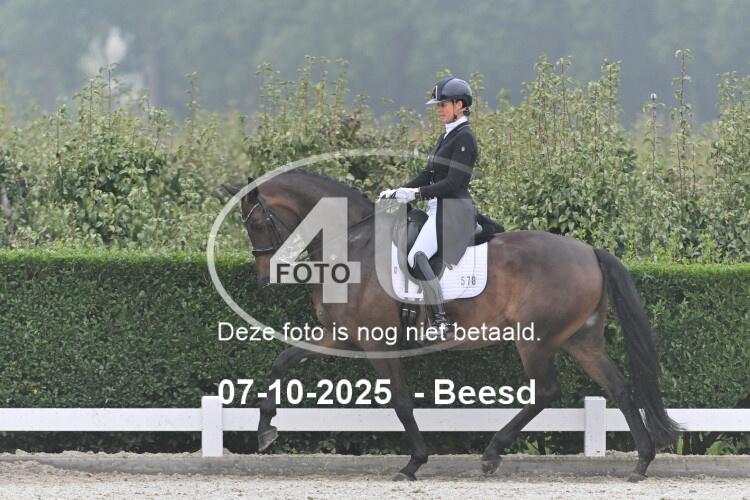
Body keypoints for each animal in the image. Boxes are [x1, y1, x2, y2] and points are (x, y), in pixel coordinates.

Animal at [223, 169, 680, 482]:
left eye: (256, 222)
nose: (264, 276)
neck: (354, 245)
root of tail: (589, 251)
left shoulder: (377, 344)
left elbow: (400, 402)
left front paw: (413, 463)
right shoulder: (341, 335)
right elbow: (282, 362)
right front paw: (265, 430)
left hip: (535, 339)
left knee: (547, 391)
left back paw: (492, 453)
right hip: (581, 339)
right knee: (619, 388)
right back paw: (641, 462)